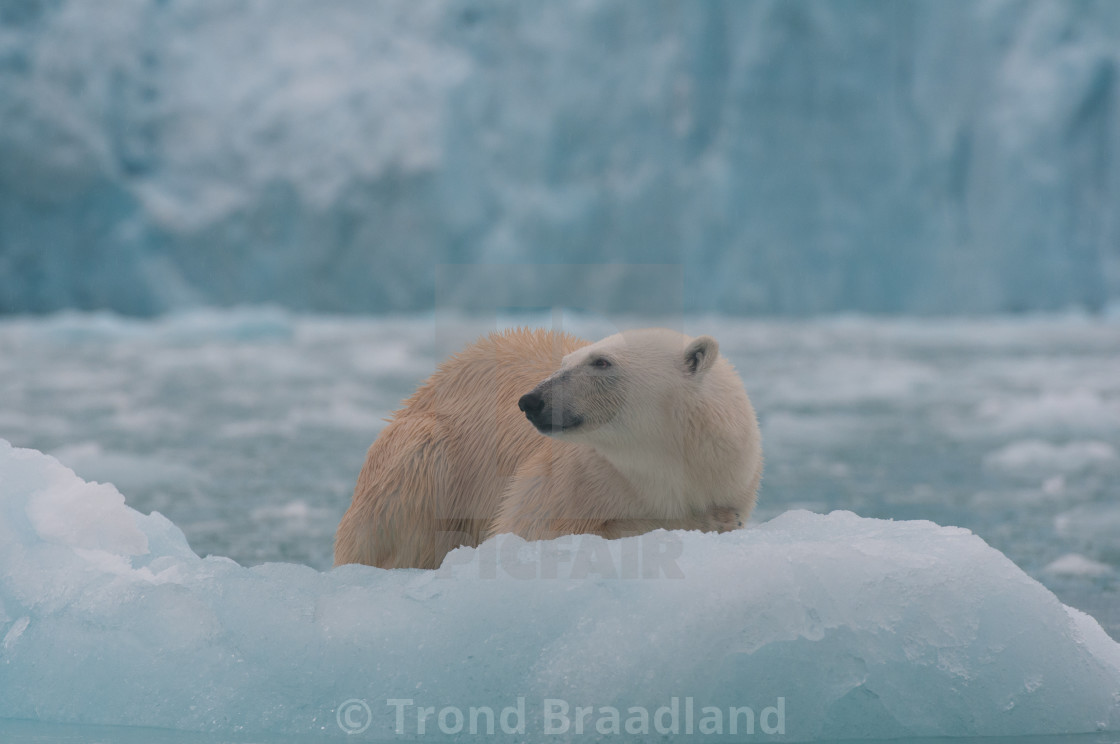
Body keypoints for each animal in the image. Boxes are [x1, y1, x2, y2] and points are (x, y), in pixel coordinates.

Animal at [333, 329, 761, 566]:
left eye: (601, 361)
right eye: (565, 361)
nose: (531, 400)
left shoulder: (729, 473)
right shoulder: (572, 477)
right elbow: (533, 531)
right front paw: (710, 521)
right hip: (423, 457)